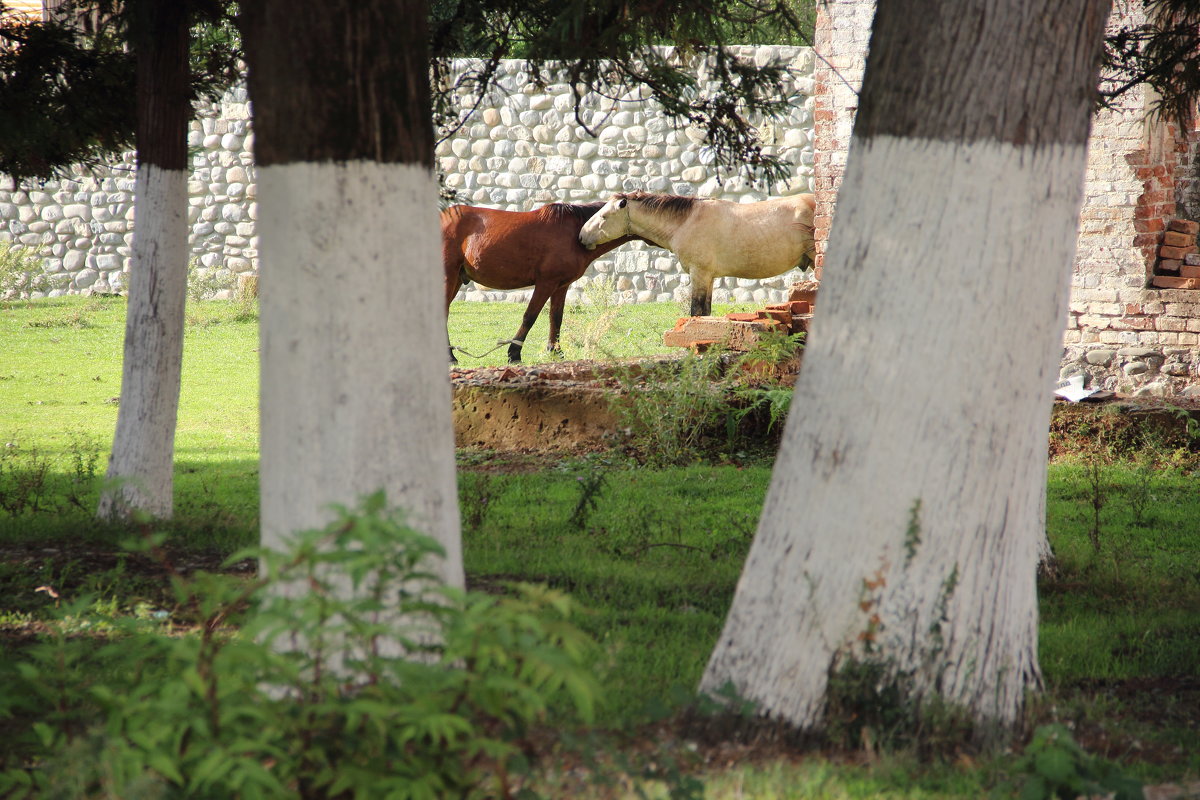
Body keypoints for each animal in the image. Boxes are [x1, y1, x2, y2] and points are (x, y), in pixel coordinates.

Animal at [441, 201, 643, 364]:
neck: (576, 232)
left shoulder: (561, 286)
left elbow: (556, 318)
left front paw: (556, 352)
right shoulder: (546, 283)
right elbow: (530, 316)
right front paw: (514, 354)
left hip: (456, 279)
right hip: (448, 277)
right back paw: (450, 357)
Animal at [578, 191, 816, 316]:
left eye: (604, 217)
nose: (581, 237)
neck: (686, 222)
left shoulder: (699, 274)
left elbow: (696, 311)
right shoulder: (708, 277)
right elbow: (706, 312)